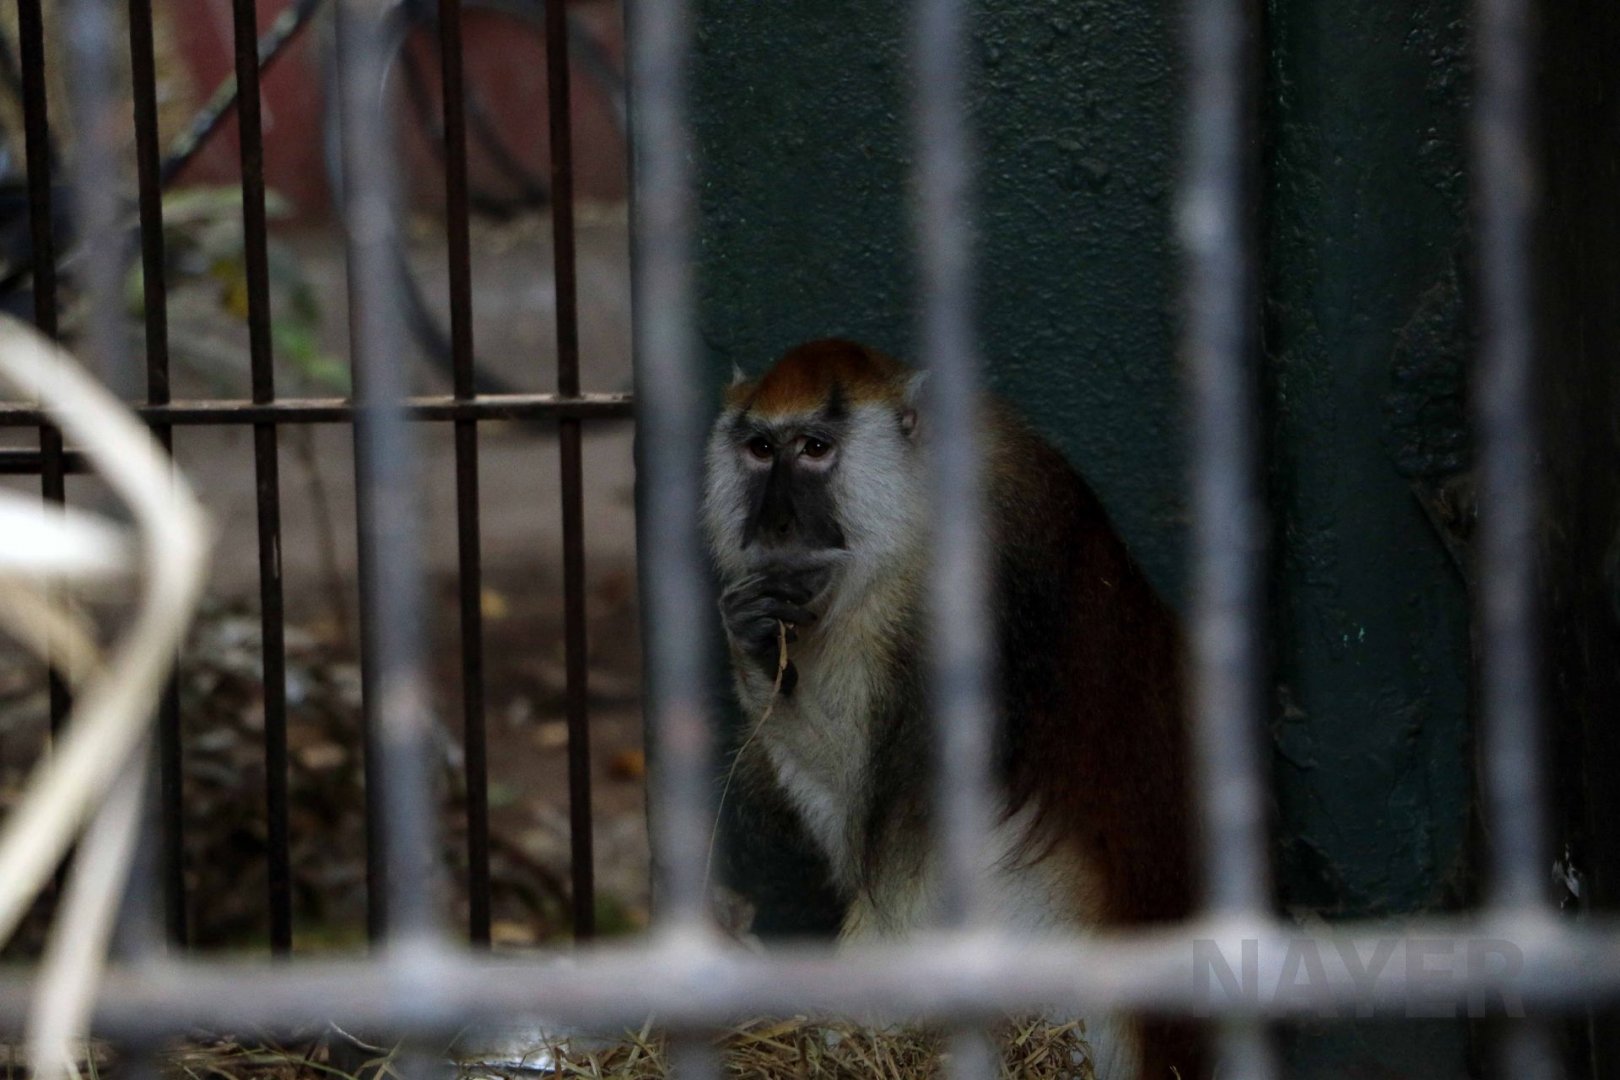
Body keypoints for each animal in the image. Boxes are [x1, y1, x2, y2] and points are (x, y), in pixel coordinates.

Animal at [702, 338, 1202, 1080]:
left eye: (816, 448)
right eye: (761, 449)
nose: (775, 523)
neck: (916, 513)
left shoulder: (969, 596)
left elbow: (888, 828)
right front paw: (756, 634)